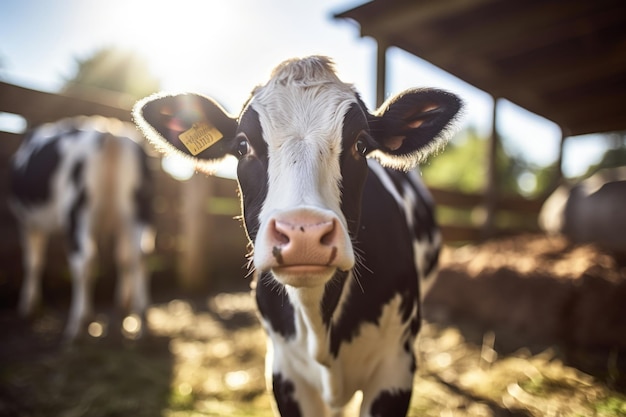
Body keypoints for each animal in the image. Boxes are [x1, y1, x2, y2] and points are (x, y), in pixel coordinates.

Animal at [8, 114, 154, 342]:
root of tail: (110, 132)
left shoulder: (26, 222)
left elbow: (33, 263)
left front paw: (28, 306)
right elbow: (122, 258)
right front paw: (120, 305)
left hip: (75, 209)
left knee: (83, 259)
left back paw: (76, 326)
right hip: (137, 211)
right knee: (139, 253)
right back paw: (142, 321)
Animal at [134, 56, 460, 416]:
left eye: (361, 144)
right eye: (243, 145)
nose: (304, 232)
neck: (319, 325)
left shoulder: (395, 369)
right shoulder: (284, 372)